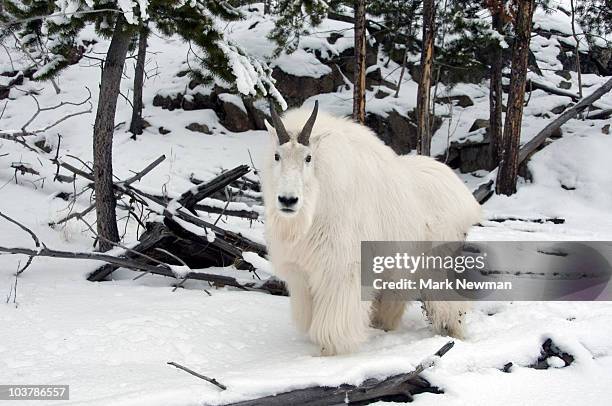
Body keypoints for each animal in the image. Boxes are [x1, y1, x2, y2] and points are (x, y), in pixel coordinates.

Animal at [260, 102, 480, 356]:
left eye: (308, 158)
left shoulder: (343, 269)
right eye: (277, 156)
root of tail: (465, 196)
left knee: (451, 303)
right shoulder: (303, 274)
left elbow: (332, 325)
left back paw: (452, 332)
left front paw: (331, 351)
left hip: (440, 261)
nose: (288, 200)